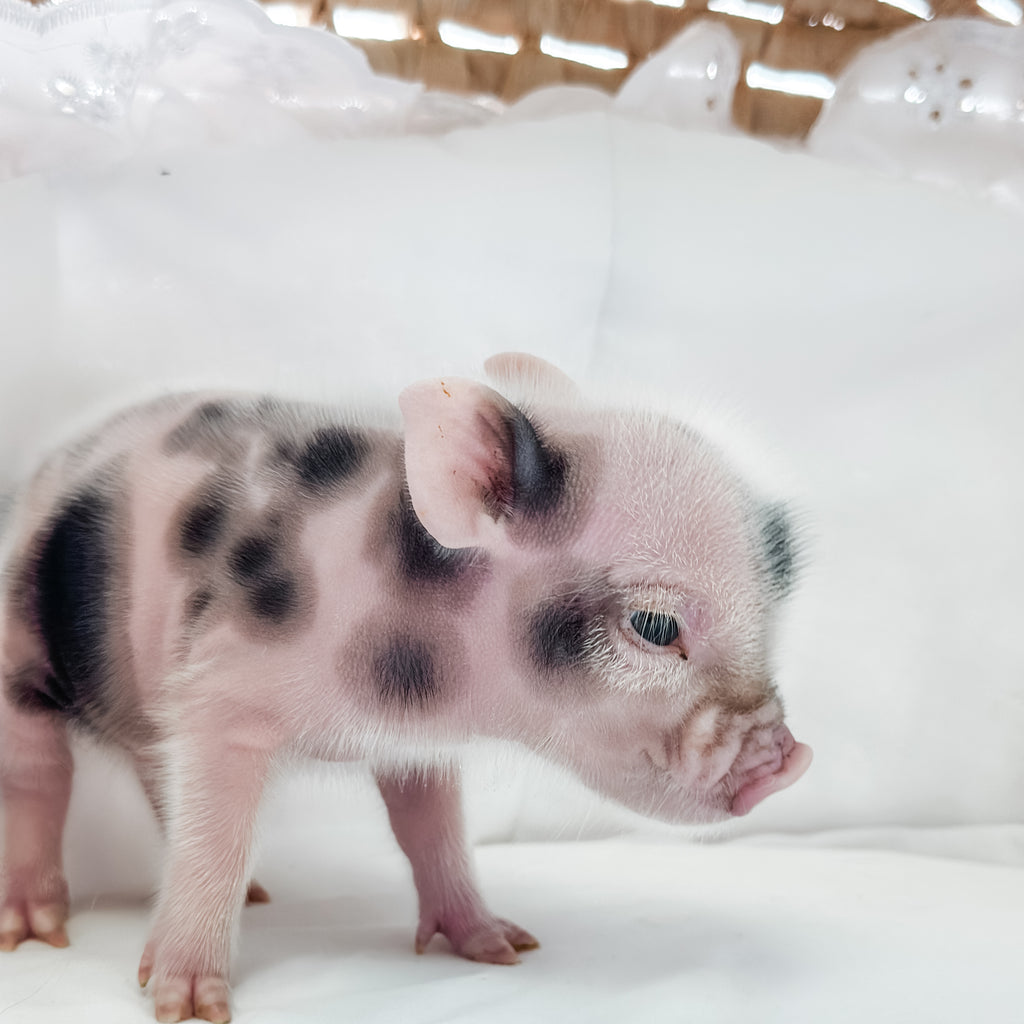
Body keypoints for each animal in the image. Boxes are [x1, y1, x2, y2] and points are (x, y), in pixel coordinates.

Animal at [0, 353, 811, 1022]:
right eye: (654, 623)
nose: (790, 761)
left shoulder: (417, 743)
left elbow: (431, 828)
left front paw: (504, 947)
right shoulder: (219, 689)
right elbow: (217, 837)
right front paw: (187, 1006)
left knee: (153, 768)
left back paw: (259, 895)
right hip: (18, 653)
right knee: (40, 775)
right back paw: (36, 932)